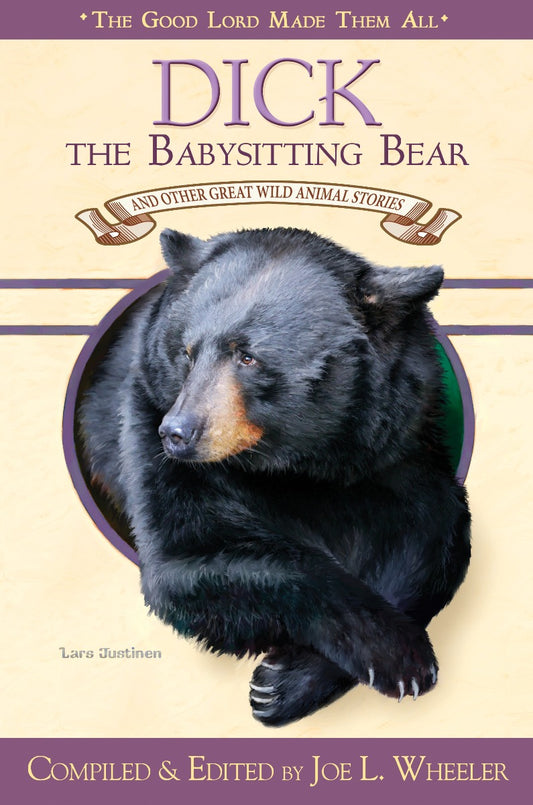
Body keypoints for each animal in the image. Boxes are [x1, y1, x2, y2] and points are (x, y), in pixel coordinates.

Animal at [77, 226, 471, 727]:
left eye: (248, 357)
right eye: (187, 352)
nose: (176, 433)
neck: (297, 465)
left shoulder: (396, 449)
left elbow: (431, 540)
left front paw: (290, 682)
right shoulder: (148, 427)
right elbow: (194, 556)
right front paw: (398, 654)